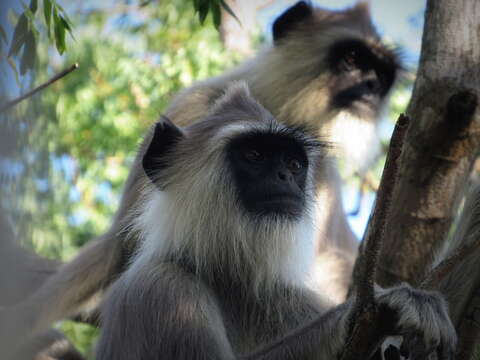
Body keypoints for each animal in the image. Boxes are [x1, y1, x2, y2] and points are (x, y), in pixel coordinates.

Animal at [0, 0, 400, 354]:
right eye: (352, 59)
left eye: (381, 77)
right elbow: (122, 244)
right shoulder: (192, 105)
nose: (370, 87)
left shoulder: (321, 173)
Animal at [96, 82, 458, 360]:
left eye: (293, 164)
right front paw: (374, 313)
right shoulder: (164, 290)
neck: (229, 280)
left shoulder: (288, 297)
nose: (284, 176)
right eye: (254, 155)